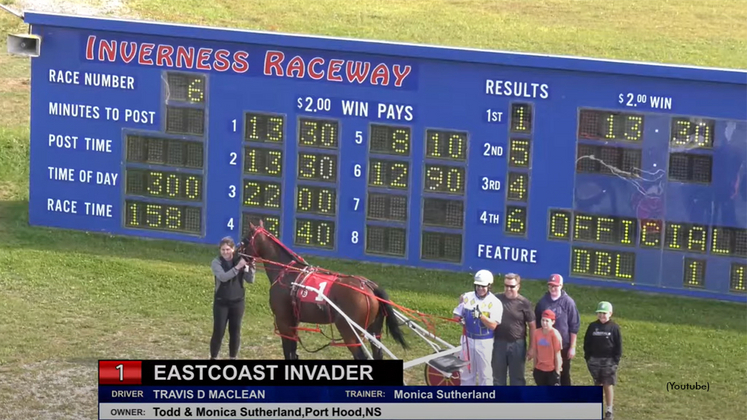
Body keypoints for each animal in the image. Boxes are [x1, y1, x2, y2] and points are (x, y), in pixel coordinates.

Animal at [237, 220, 406, 360]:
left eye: (245, 239)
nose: (237, 253)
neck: (287, 272)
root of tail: (368, 286)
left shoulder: (283, 321)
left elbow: (288, 352)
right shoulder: (293, 321)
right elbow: (293, 353)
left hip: (350, 333)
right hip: (374, 331)